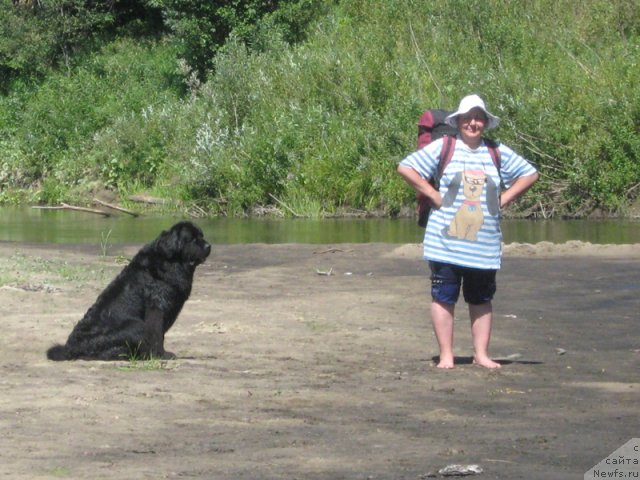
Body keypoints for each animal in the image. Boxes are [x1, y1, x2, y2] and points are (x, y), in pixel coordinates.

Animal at [48, 221, 212, 360]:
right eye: (192, 239)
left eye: (201, 236)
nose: (208, 246)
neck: (172, 262)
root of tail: (69, 349)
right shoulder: (156, 308)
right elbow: (157, 334)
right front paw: (161, 355)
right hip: (136, 325)